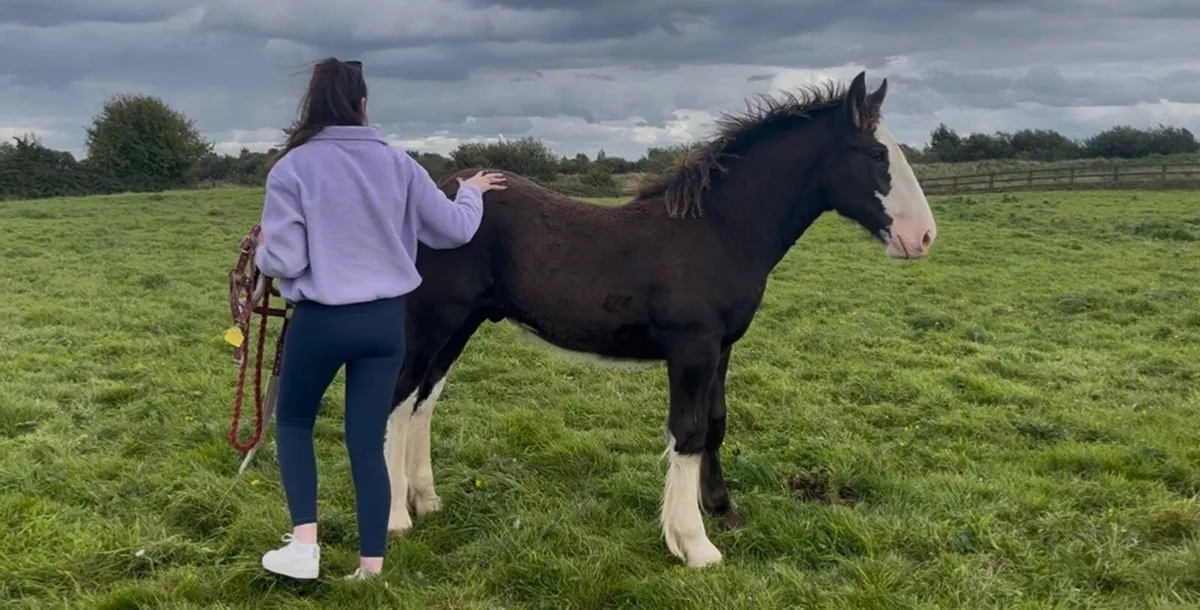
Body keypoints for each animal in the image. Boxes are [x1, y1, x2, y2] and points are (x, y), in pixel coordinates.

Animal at [381, 71, 938, 568]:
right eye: (876, 154)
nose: (923, 237)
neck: (718, 231)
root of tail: (438, 192)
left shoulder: (722, 347)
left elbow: (714, 423)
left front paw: (722, 511)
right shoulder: (692, 347)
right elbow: (686, 433)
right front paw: (694, 545)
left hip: (462, 325)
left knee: (423, 402)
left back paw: (426, 501)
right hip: (432, 322)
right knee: (397, 401)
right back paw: (395, 520)